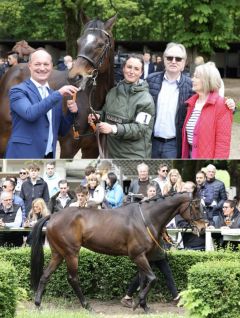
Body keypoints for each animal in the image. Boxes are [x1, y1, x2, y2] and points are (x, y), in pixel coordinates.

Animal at [30, 193, 206, 312]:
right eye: (196, 207)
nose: (203, 228)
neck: (146, 218)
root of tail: (53, 216)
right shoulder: (138, 256)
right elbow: (152, 279)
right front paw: (138, 302)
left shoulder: (142, 256)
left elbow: (143, 280)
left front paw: (143, 305)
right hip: (71, 253)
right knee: (73, 278)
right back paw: (86, 305)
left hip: (58, 253)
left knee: (45, 275)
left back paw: (38, 303)